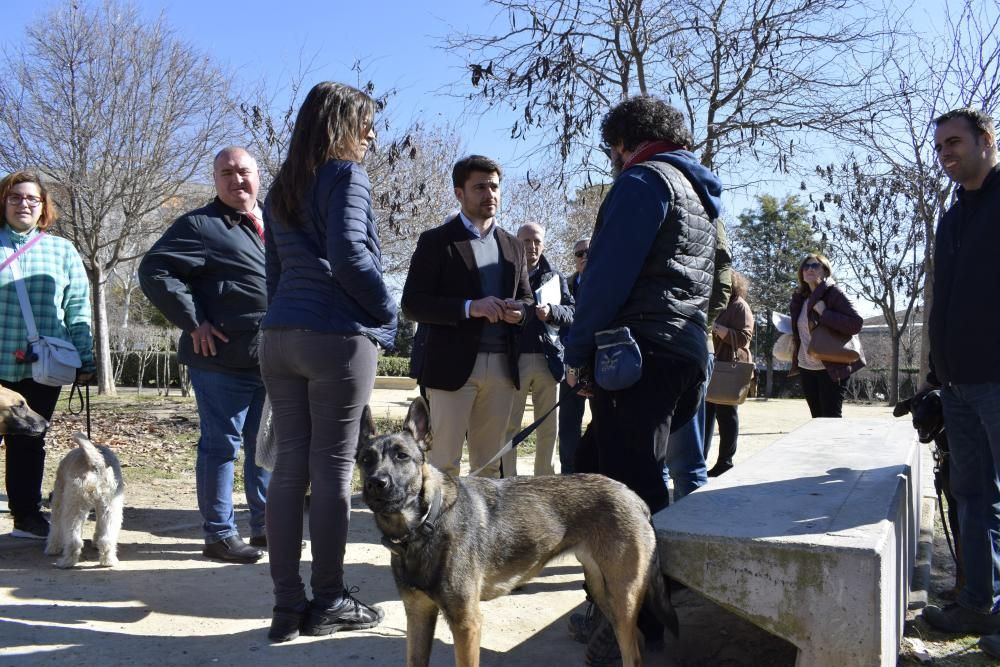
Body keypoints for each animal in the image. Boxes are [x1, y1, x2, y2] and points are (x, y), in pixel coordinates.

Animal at [45, 434, 124, 568]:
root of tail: (95, 463)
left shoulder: (58, 500)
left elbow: (55, 528)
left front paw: (52, 548)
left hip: (74, 506)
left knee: (74, 541)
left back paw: (66, 562)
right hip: (111, 506)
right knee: (107, 539)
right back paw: (108, 561)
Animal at [356, 400, 676, 667]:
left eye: (402, 456)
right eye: (365, 459)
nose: (375, 483)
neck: (425, 524)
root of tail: (633, 496)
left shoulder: (466, 624)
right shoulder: (418, 616)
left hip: (622, 598)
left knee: (633, 651)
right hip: (603, 592)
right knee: (635, 641)